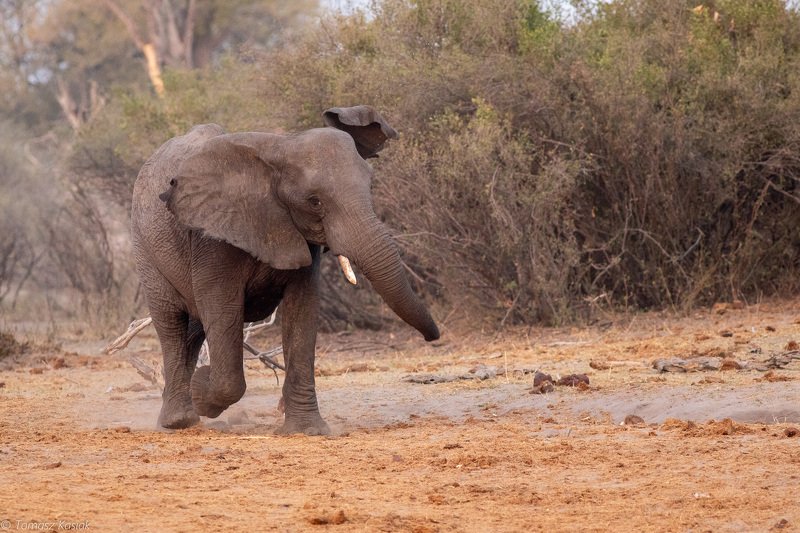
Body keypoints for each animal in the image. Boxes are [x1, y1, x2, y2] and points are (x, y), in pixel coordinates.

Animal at [131, 105, 440, 435]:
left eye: (370, 187)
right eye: (315, 202)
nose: (433, 338)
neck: (281, 147)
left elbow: (301, 312)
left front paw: (308, 431)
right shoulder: (212, 237)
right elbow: (223, 310)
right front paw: (202, 389)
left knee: (194, 328)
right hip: (146, 249)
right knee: (172, 323)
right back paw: (180, 421)